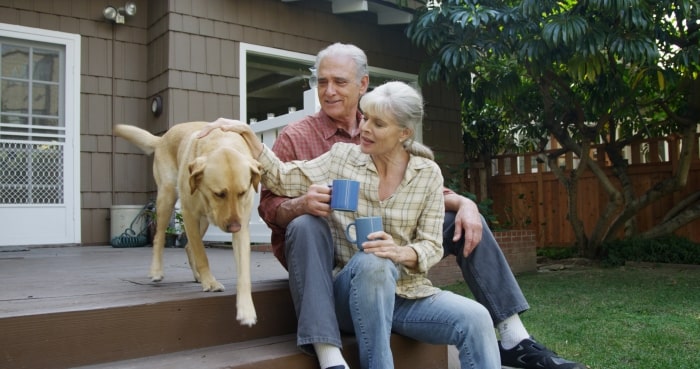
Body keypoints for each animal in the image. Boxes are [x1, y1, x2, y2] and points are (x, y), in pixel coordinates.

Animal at [114, 121, 260, 324]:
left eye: (243, 192)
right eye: (219, 194)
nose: (234, 227)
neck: (221, 141)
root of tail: (162, 137)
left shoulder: (242, 223)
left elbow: (243, 272)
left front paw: (246, 309)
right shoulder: (189, 214)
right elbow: (201, 254)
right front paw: (210, 282)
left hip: (204, 220)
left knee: (188, 246)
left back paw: (198, 276)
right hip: (167, 196)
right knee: (159, 238)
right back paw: (157, 270)